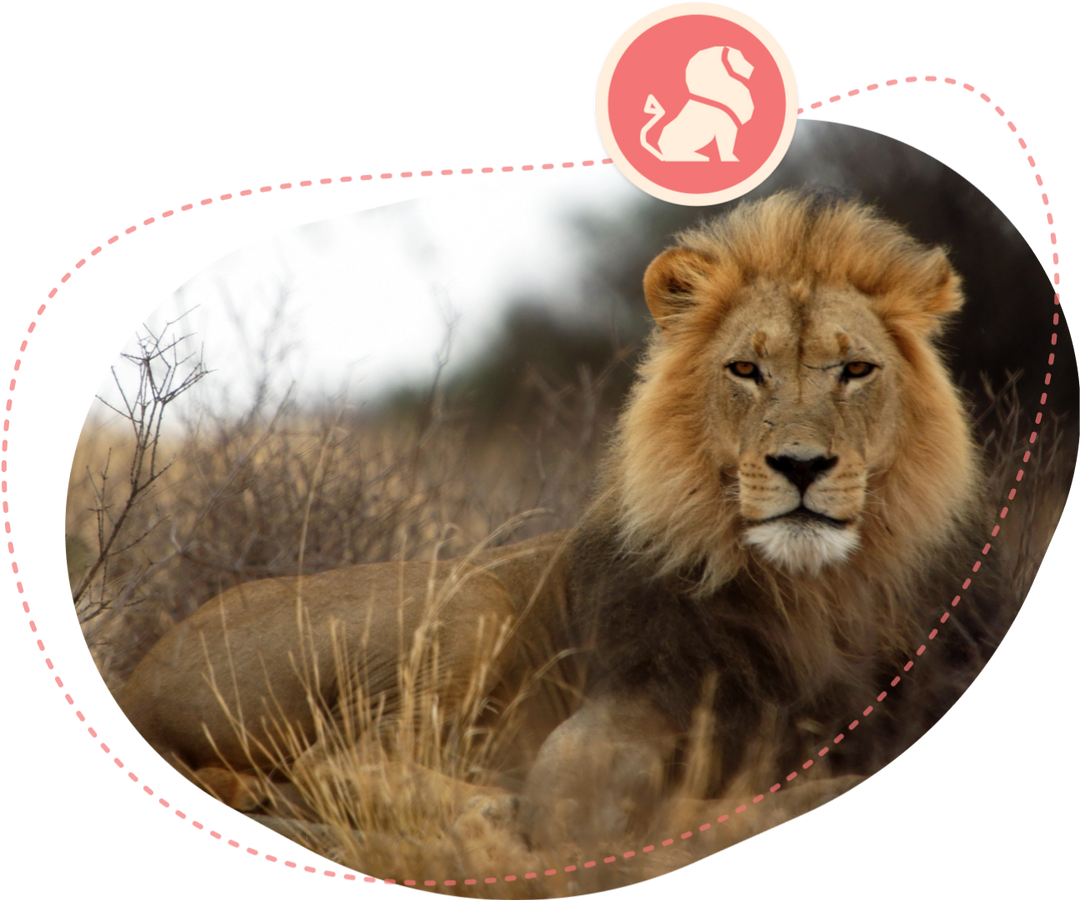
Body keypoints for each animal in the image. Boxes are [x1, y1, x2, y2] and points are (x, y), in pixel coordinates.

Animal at [119, 189, 998, 855]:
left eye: (857, 370)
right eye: (745, 370)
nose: (802, 465)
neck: (803, 593)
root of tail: (137, 679)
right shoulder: (593, 741)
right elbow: (636, 808)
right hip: (469, 603)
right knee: (336, 760)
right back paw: (484, 811)